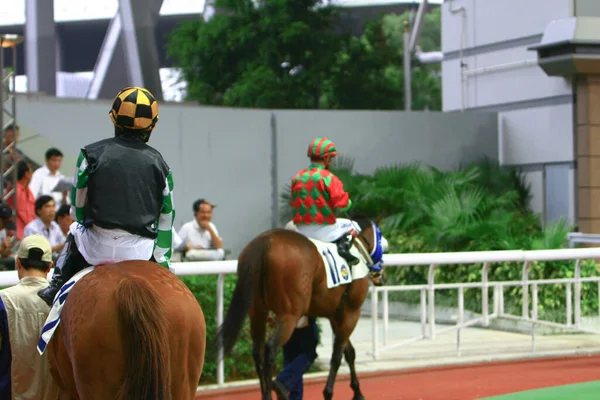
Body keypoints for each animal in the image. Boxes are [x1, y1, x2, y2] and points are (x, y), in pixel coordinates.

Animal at [216, 216, 384, 400]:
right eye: (381, 238)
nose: (381, 276)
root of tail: (264, 241)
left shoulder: (337, 315)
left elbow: (349, 353)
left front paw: (358, 392)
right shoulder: (351, 313)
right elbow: (337, 356)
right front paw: (329, 392)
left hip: (257, 312)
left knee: (257, 351)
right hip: (289, 315)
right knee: (270, 349)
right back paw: (276, 389)